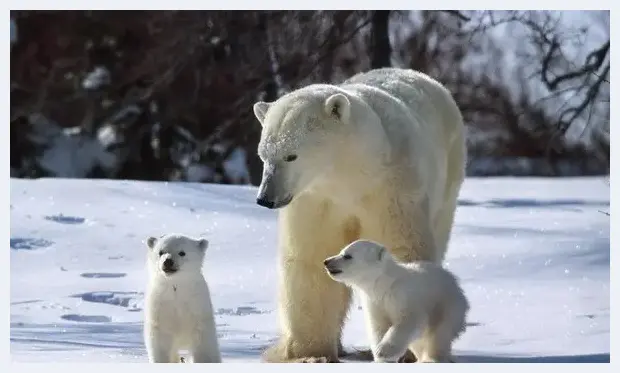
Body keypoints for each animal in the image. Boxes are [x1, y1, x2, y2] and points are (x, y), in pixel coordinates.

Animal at [252, 67, 464, 364]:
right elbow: (311, 258)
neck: (351, 174)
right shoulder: (316, 200)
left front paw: (403, 351)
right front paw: (311, 354)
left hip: (448, 179)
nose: (265, 199)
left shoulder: (391, 188)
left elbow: (401, 246)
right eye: (263, 155)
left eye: (291, 155)